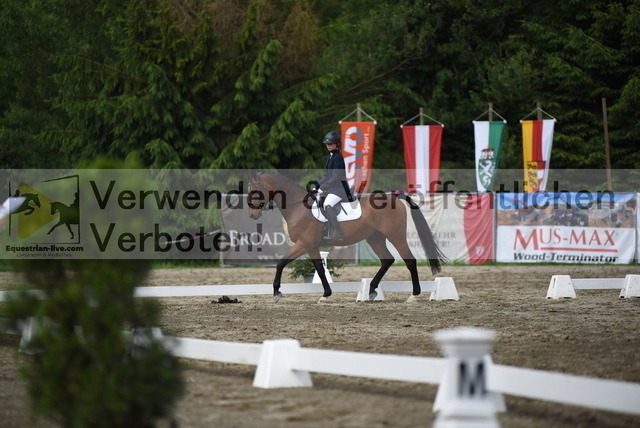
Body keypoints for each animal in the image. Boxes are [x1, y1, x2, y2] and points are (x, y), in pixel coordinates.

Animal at [247, 171, 445, 303]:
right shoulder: (309, 246)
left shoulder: (306, 244)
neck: (298, 208)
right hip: (375, 238)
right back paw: (371, 291)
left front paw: (278, 293)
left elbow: (289, 264)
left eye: (256, 190)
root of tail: (393, 197)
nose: (252, 215)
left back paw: (413, 295)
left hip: (395, 236)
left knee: (409, 260)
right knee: (387, 260)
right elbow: (315, 268)